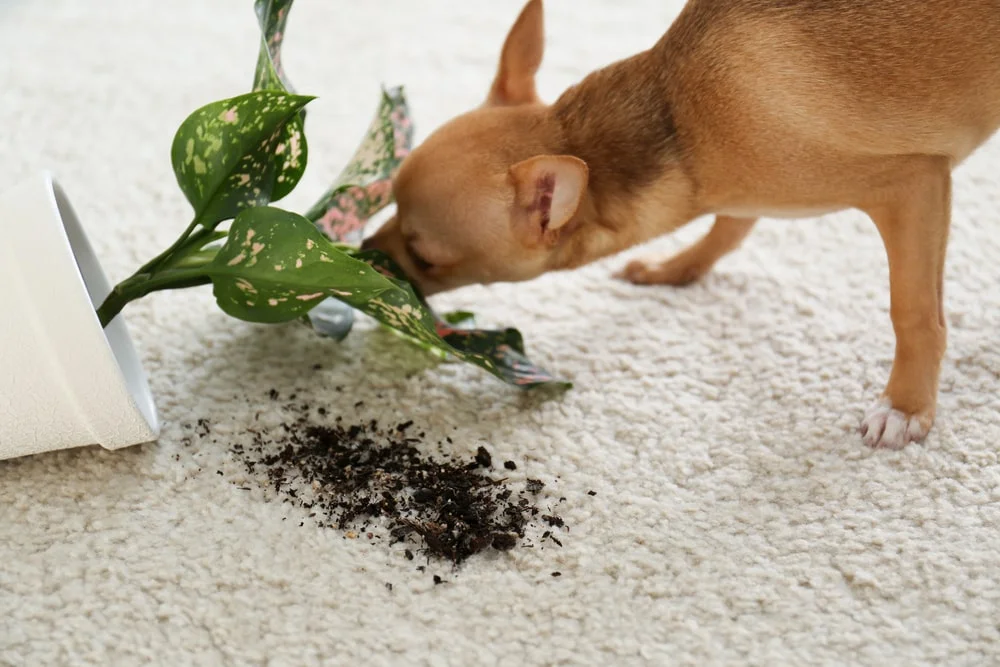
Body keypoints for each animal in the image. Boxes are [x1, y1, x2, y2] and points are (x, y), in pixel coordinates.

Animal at [364, 0, 1000, 452]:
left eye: (425, 257)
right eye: (386, 207)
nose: (366, 250)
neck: (678, 120)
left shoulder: (913, 185)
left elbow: (914, 314)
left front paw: (906, 407)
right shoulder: (744, 190)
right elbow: (729, 229)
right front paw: (677, 270)